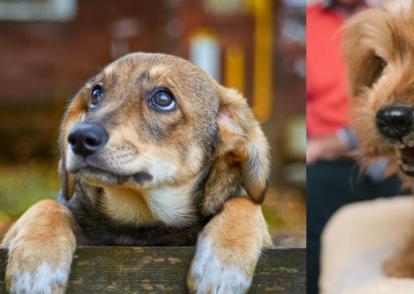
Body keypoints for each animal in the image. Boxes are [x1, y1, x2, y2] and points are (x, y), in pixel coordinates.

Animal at [1, 51, 274, 292]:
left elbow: (245, 203)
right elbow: (47, 205)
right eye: (96, 94)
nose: (78, 138)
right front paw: (35, 266)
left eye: (163, 99)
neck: (140, 220)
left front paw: (223, 267)